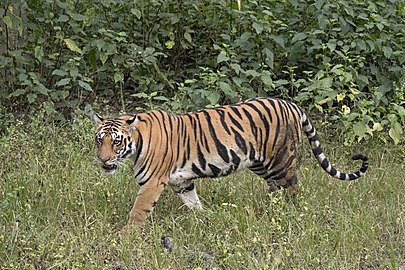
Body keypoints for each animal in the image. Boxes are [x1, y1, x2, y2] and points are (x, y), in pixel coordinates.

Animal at [93, 97, 368, 228]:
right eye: (99, 140)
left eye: (116, 142)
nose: (103, 160)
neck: (137, 143)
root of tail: (291, 104)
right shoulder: (182, 182)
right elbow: (193, 203)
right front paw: (205, 219)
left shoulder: (151, 183)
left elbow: (138, 211)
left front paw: (127, 236)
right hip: (261, 163)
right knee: (275, 189)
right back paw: (268, 210)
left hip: (281, 161)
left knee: (292, 189)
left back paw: (289, 214)